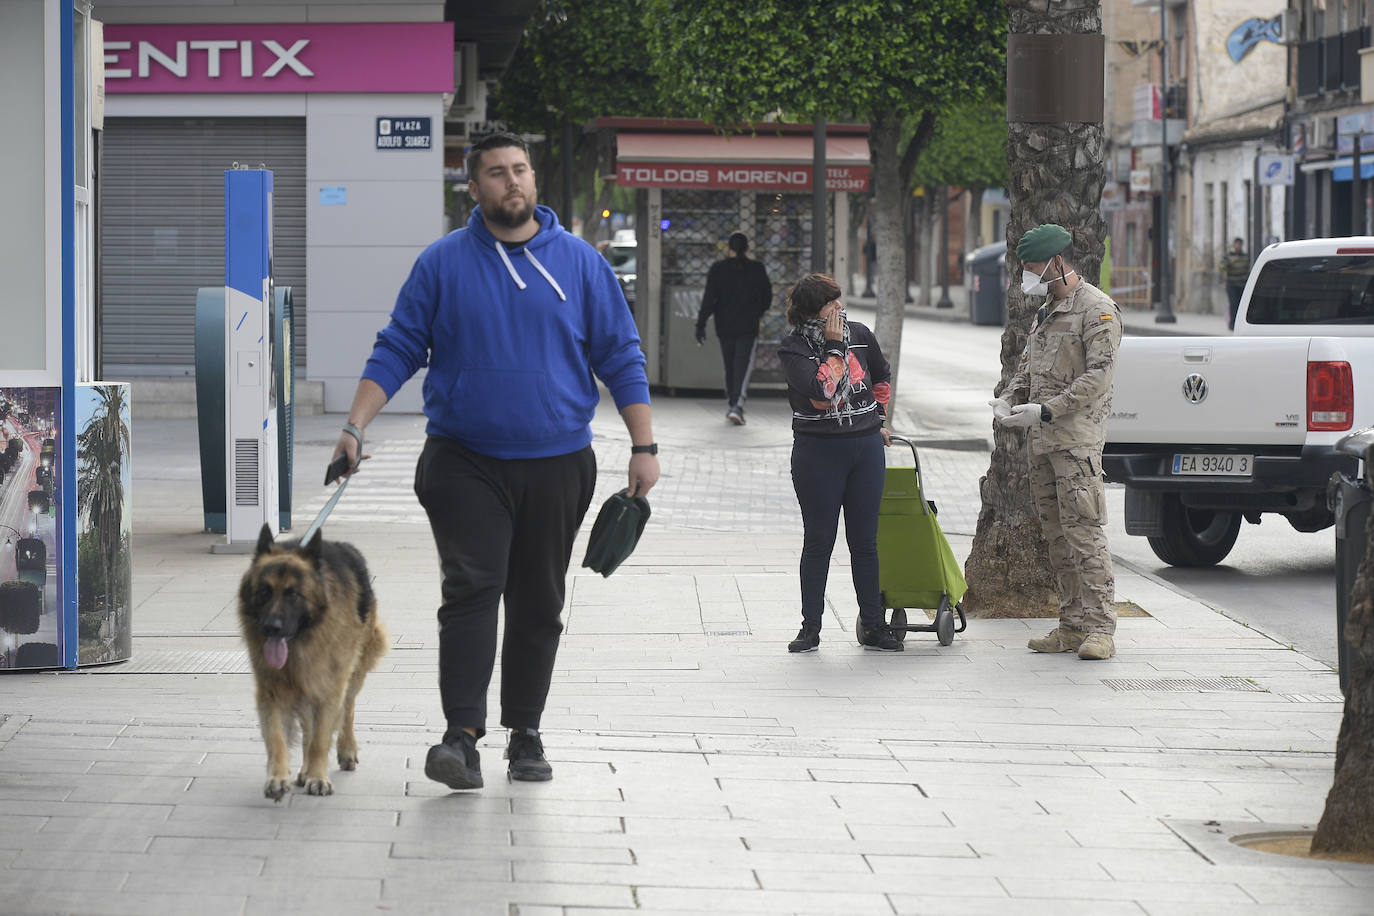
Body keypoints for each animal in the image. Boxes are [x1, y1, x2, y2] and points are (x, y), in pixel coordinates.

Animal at [236, 527, 387, 796]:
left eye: (293, 595)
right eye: (264, 592)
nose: (271, 628)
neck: (300, 646)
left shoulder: (328, 689)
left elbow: (320, 739)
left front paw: (318, 777)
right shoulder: (272, 692)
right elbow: (277, 739)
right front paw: (278, 777)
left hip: (355, 670)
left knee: (347, 709)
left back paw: (346, 750)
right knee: (308, 727)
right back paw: (304, 770)